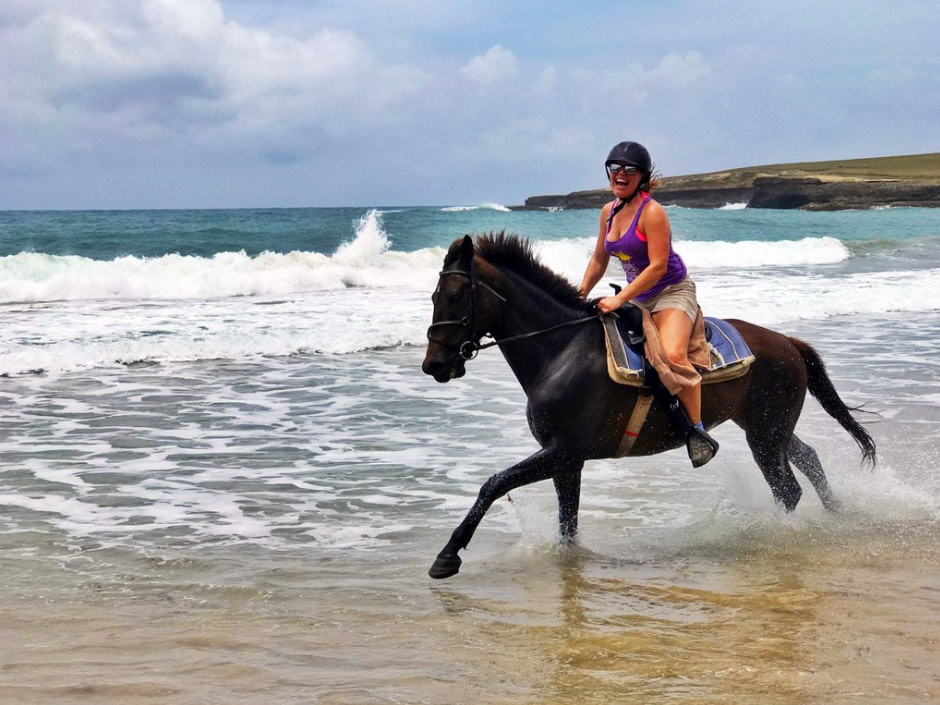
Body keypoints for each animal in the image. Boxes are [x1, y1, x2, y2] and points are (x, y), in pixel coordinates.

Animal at [418, 232, 872, 576]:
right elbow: (567, 522)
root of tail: (788, 343)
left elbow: (493, 484)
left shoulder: (562, 452)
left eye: (455, 296)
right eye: (435, 295)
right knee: (809, 459)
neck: (562, 348)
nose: (434, 364)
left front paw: (447, 555)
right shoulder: (567, 461)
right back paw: (836, 514)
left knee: (788, 488)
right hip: (767, 428)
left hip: (764, 434)